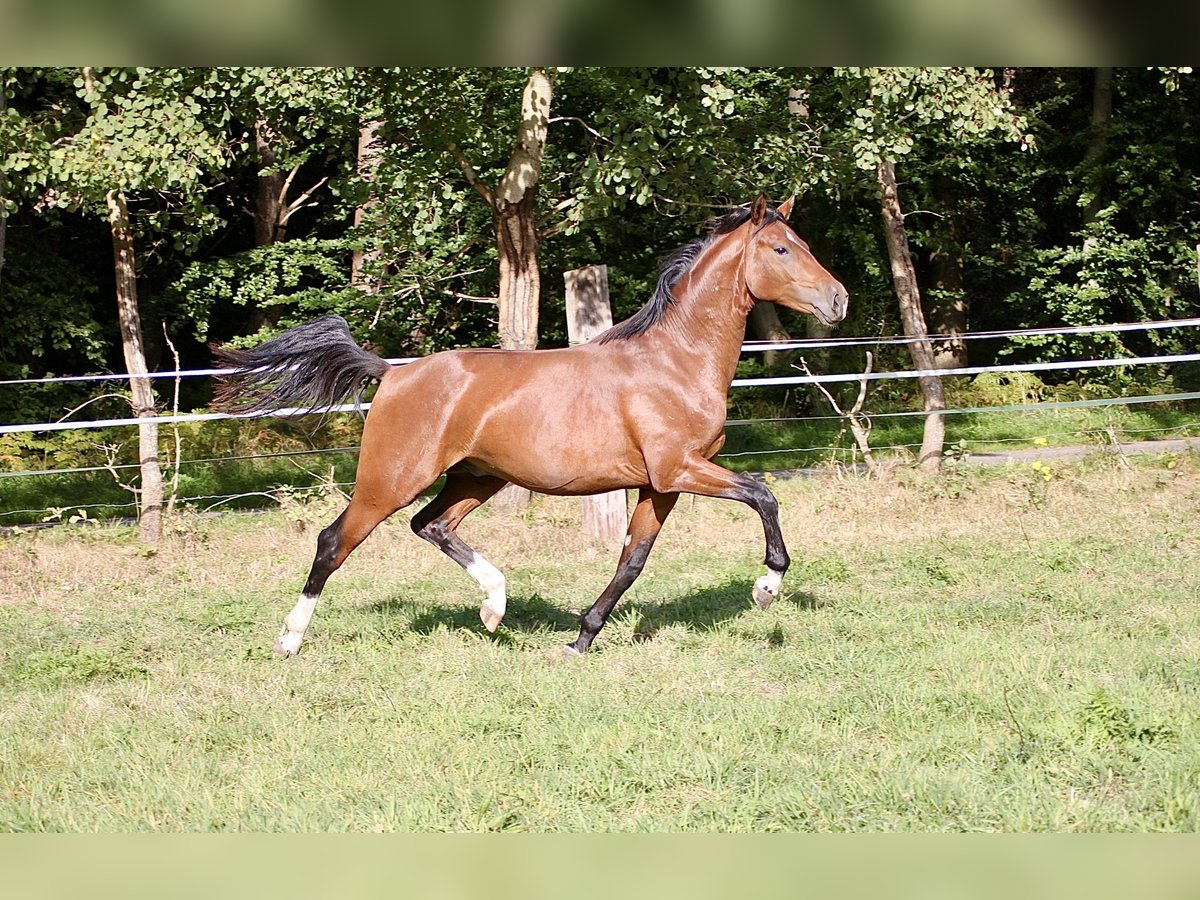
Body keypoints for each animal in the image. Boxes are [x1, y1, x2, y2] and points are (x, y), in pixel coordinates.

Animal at [218, 196, 854, 657]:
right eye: (781, 248)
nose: (839, 300)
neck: (675, 361)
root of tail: (392, 374)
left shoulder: (661, 485)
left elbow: (631, 563)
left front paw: (581, 639)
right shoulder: (681, 468)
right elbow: (764, 495)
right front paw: (766, 588)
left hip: (476, 477)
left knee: (431, 525)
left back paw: (494, 608)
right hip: (390, 479)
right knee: (334, 542)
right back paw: (290, 640)